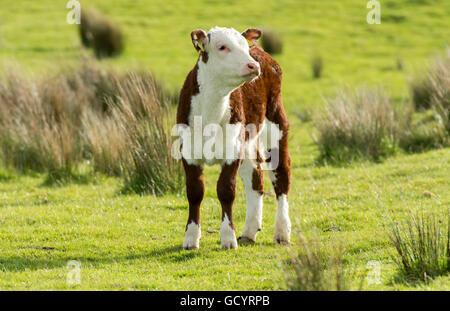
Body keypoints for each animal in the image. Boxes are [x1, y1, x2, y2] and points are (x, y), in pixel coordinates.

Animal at [177, 26, 292, 251]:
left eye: (244, 46)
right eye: (222, 47)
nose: (253, 65)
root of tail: (262, 52)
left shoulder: (232, 150)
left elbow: (226, 191)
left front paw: (228, 238)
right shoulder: (188, 151)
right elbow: (195, 192)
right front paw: (191, 238)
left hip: (276, 121)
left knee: (281, 175)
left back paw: (282, 231)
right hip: (248, 138)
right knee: (255, 176)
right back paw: (250, 231)